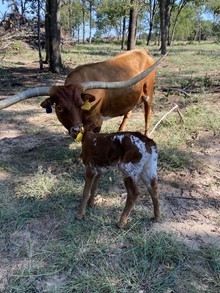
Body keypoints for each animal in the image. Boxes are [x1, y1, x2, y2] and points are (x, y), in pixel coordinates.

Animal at [0, 49, 167, 138]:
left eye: (81, 104)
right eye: (59, 107)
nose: (75, 130)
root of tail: (143, 51)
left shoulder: (97, 121)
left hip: (148, 92)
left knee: (148, 113)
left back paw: (146, 134)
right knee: (128, 111)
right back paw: (119, 131)